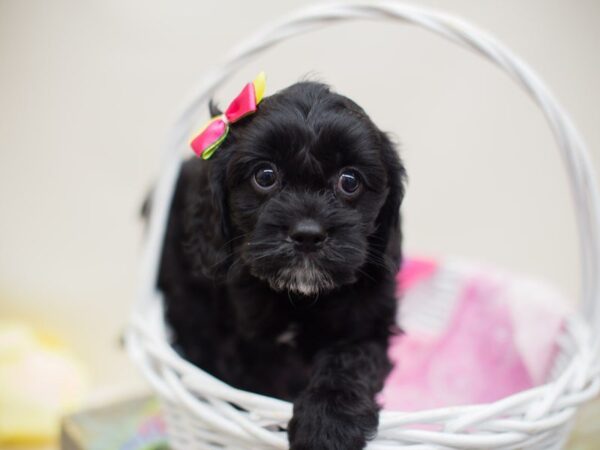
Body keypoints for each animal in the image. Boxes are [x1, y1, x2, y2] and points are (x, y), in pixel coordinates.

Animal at [157, 81, 406, 450]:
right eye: (265, 176)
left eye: (350, 181)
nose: (307, 234)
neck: (300, 298)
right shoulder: (248, 346)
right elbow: (265, 385)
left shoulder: (369, 327)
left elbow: (349, 361)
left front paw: (327, 425)